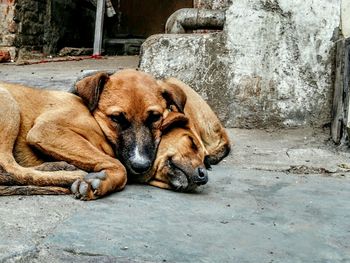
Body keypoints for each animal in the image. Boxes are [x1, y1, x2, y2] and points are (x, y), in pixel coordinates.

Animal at [0, 69, 186, 200]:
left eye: (155, 117)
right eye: (116, 118)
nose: (140, 166)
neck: (97, 121)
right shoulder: (46, 130)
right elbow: (118, 165)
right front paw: (101, 180)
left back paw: (58, 166)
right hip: (9, 104)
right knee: (12, 169)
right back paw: (72, 175)